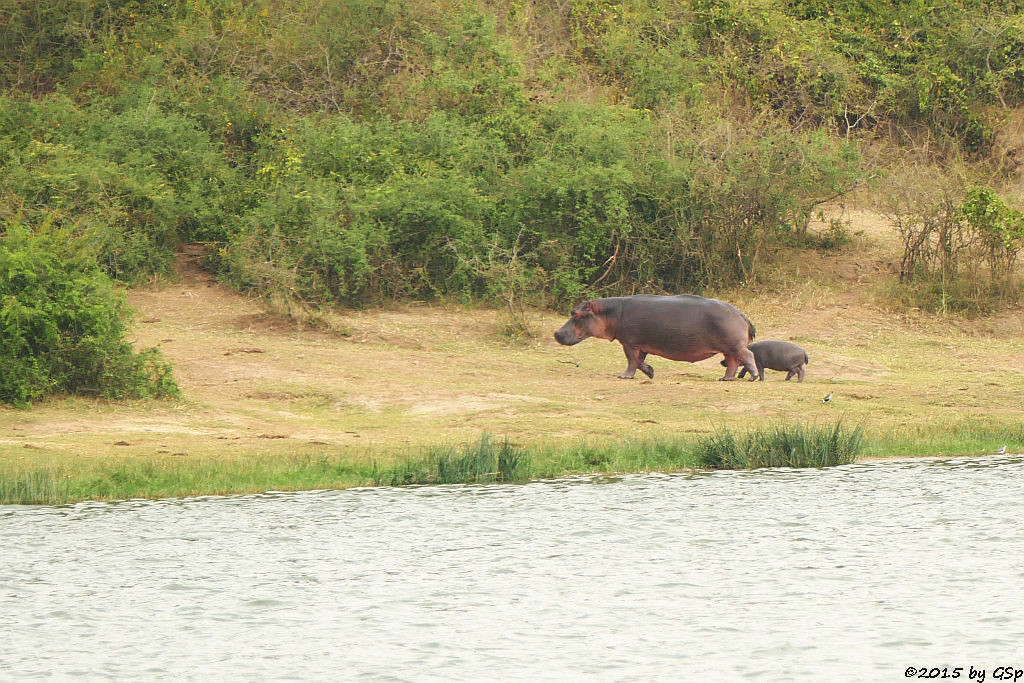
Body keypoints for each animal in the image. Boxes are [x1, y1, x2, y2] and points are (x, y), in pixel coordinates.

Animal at [552, 294, 761, 378]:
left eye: (578, 315)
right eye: (572, 312)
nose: (556, 333)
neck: (610, 313)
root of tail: (740, 313)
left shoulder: (629, 343)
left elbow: (631, 361)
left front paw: (624, 376)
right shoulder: (641, 344)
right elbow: (639, 361)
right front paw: (650, 372)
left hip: (734, 346)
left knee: (747, 356)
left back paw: (753, 376)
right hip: (728, 348)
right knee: (732, 363)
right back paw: (725, 379)